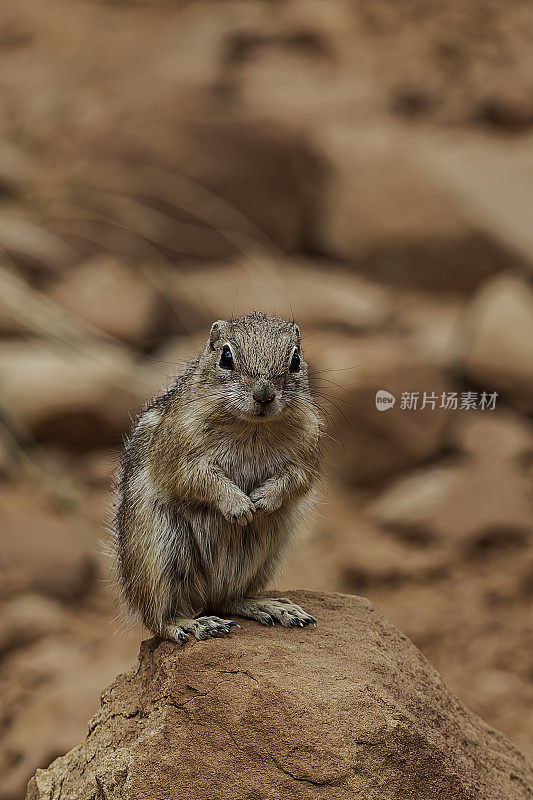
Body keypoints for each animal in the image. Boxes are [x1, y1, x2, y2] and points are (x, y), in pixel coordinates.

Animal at [113, 312, 320, 644]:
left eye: (296, 359)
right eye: (226, 357)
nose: (264, 395)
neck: (252, 426)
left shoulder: (306, 452)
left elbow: (296, 480)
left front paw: (263, 500)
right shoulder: (181, 454)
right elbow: (199, 479)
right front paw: (240, 507)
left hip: (264, 556)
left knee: (227, 600)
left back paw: (272, 607)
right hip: (162, 555)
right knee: (159, 619)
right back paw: (194, 624)